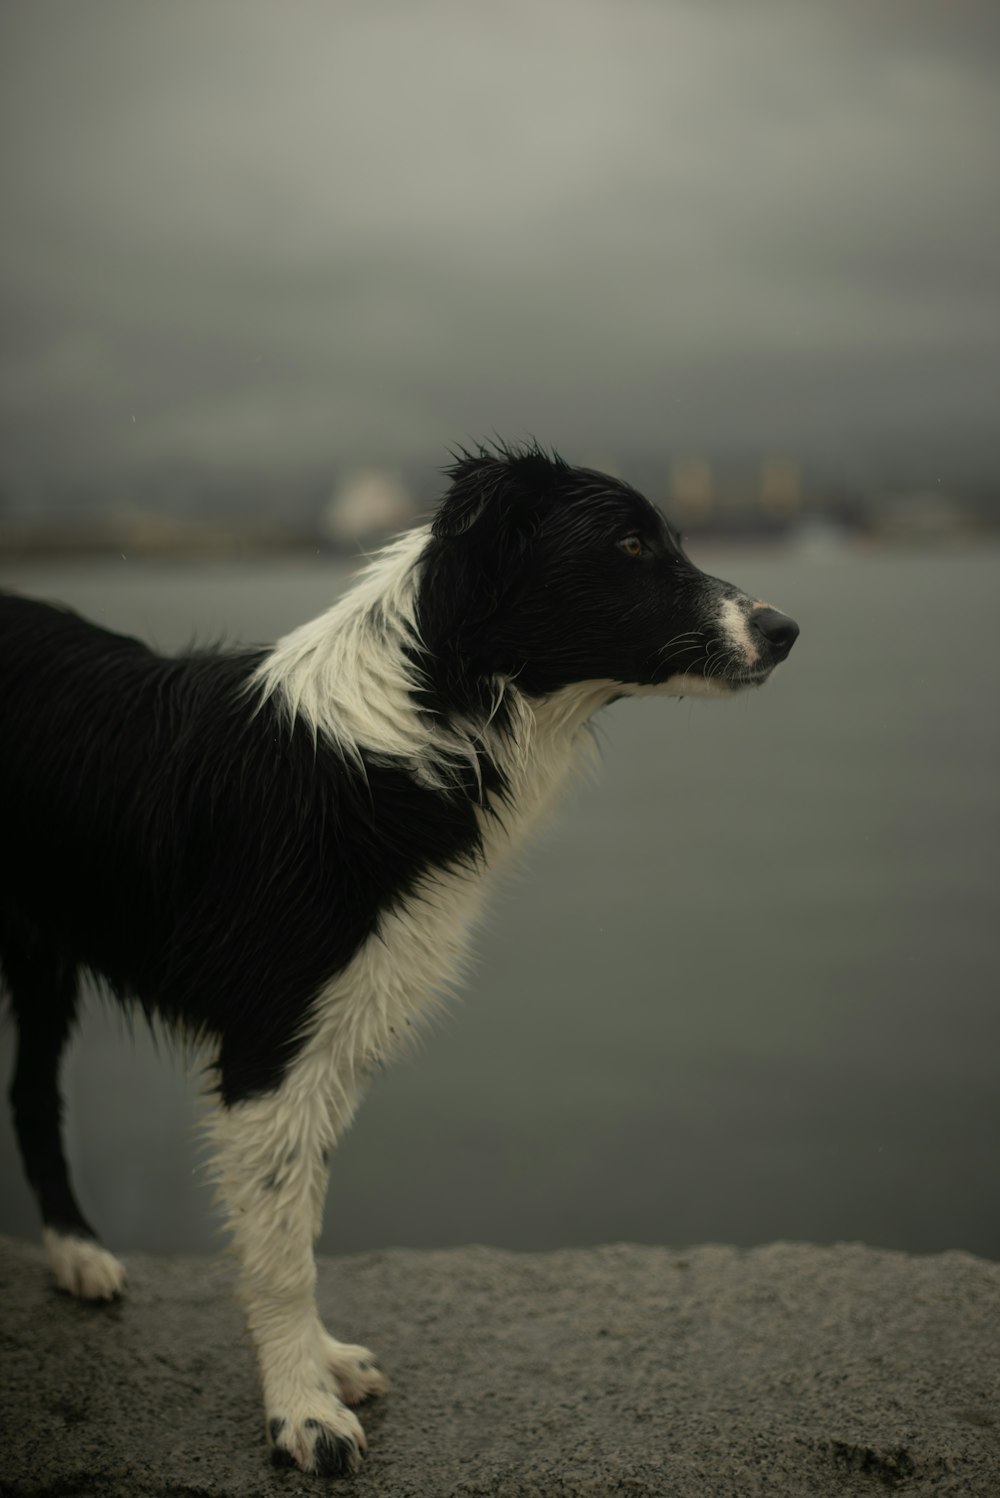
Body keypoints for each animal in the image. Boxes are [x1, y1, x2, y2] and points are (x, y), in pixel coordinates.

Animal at [0, 443, 796, 1474]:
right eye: (630, 545)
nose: (785, 628)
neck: (428, 721)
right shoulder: (268, 1038)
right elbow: (280, 1250)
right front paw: (301, 1411)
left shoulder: (338, 1029)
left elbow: (300, 1215)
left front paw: (321, 1366)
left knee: (29, 1093)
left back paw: (74, 1252)